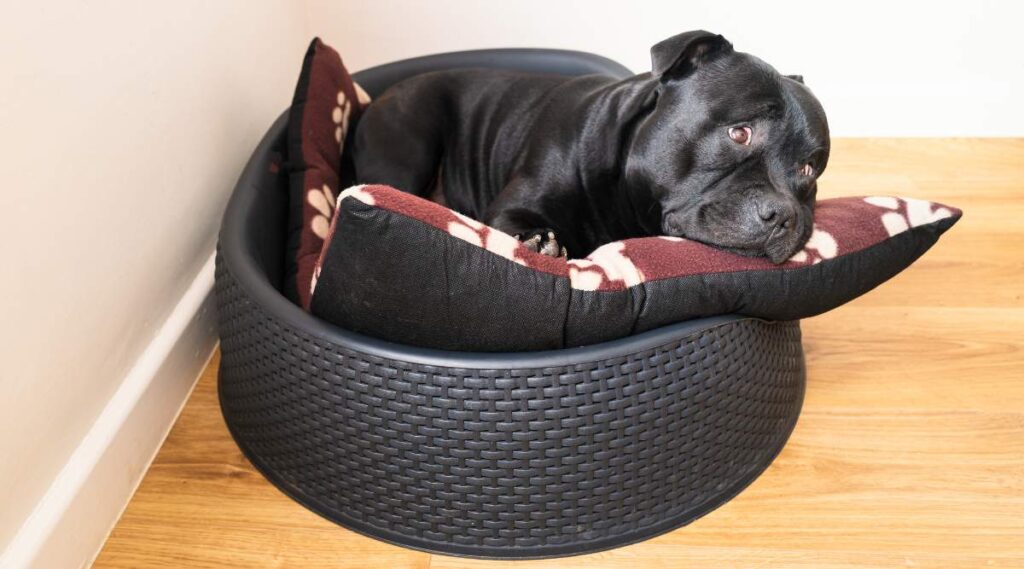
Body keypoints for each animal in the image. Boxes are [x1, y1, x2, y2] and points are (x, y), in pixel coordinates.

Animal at [356, 30, 827, 261]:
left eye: (808, 169)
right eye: (740, 133)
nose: (784, 216)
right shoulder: (509, 209)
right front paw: (537, 242)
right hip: (410, 138)